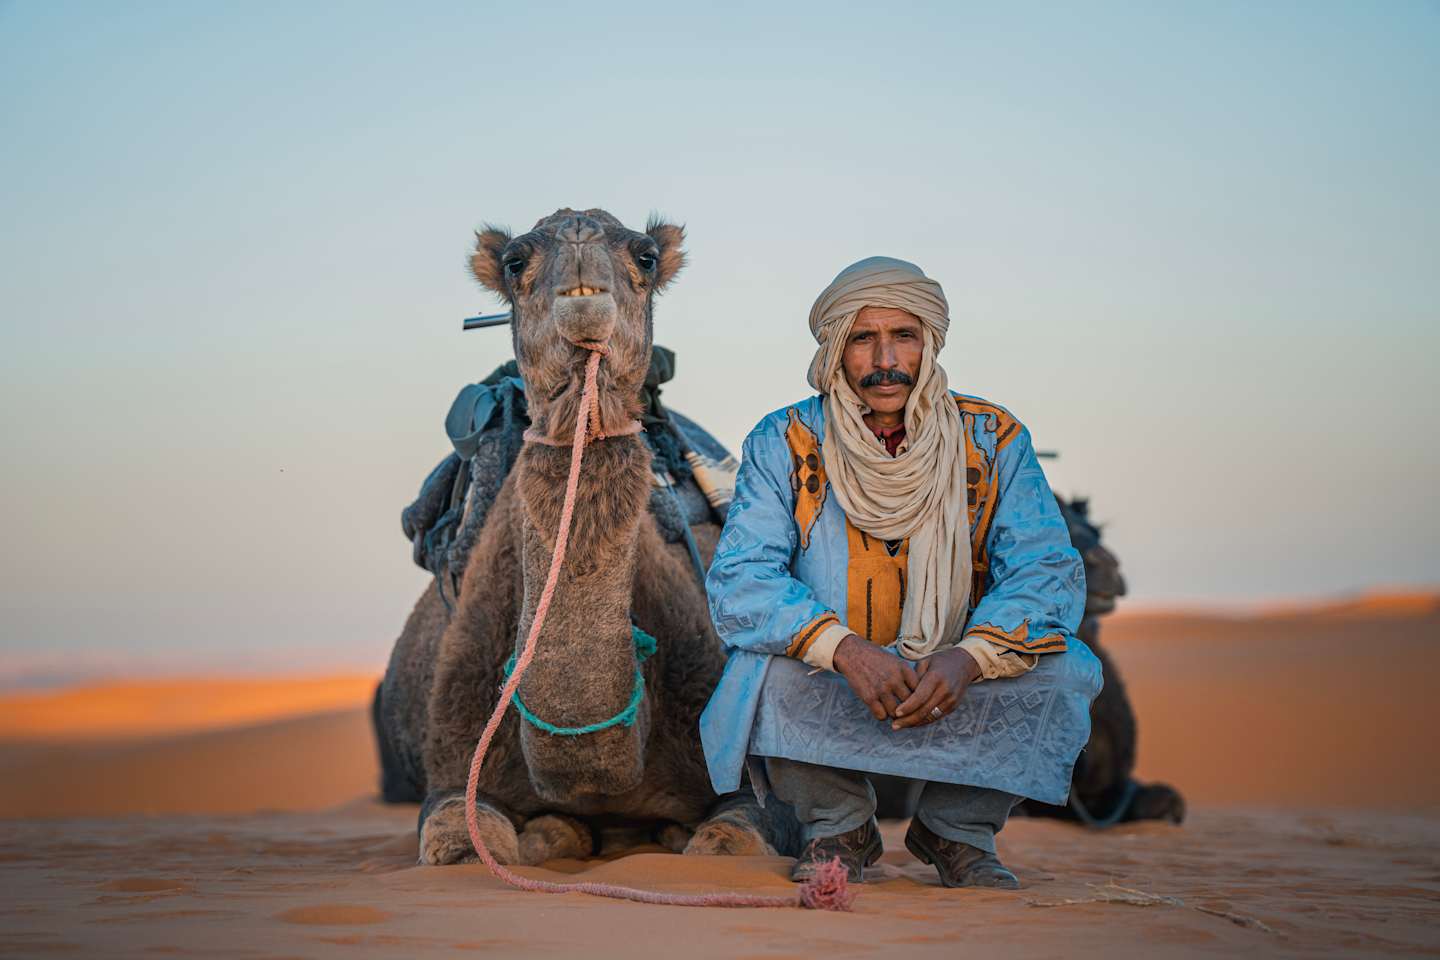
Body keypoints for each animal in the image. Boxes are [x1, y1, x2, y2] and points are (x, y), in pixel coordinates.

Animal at [374, 208, 798, 866]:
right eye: (515, 261)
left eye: (646, 255)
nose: (578, 233)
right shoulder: (453, 766)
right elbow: (460, 844)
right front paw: (551, 833)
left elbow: (725, 845)